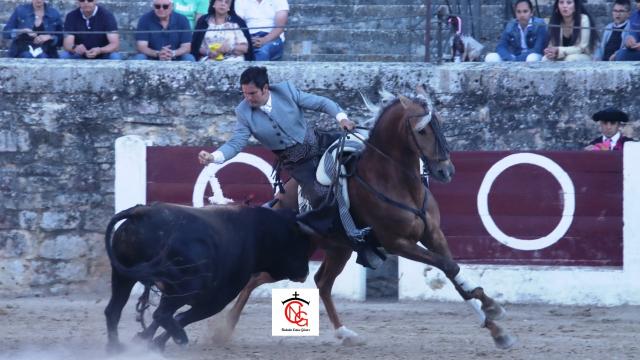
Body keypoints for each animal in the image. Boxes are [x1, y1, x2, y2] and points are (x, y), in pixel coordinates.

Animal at [104, 202, 312, 352]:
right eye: (299, 243)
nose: (305, 272)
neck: (259, 234)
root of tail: (141, 212)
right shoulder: (215, 300)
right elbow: (183, 317)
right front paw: (156, 342)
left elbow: (172, 318)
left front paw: (144, 339)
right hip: (187, 286)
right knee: (160, 313)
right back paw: (180, 338)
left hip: (123, 276)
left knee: (114, 310)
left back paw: (115, 348)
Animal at [215, 84, 516, 348]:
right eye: (421, 131)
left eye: (440, 123)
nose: (446, 171)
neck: (397, 182)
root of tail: (278, 200)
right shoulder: (398, 243)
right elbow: (448, 267)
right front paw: (493, 311)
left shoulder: (433, 234)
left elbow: (453, 270)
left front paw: (496, 325)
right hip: (293, 255)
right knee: (257, 278)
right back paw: (223, 330)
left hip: (338, 249)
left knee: (320, 283)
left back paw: (345, 333)